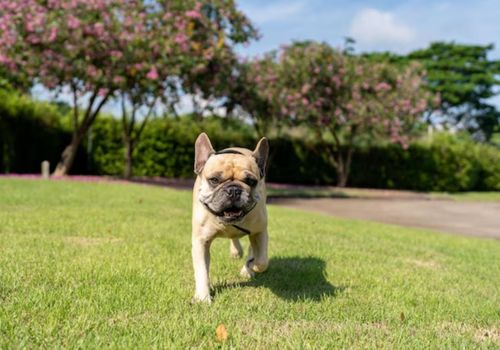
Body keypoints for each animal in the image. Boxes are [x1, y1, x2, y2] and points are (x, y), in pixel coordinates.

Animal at [191, 133, 270, 302]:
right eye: (214, 180)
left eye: (251, 181)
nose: (234, 190)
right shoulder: (201, 242)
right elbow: (202, 271)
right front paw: (203, 298)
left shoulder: (260, 232)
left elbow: (261, 260)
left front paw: (252, 266)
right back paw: (236, 251)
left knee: (252, 248)